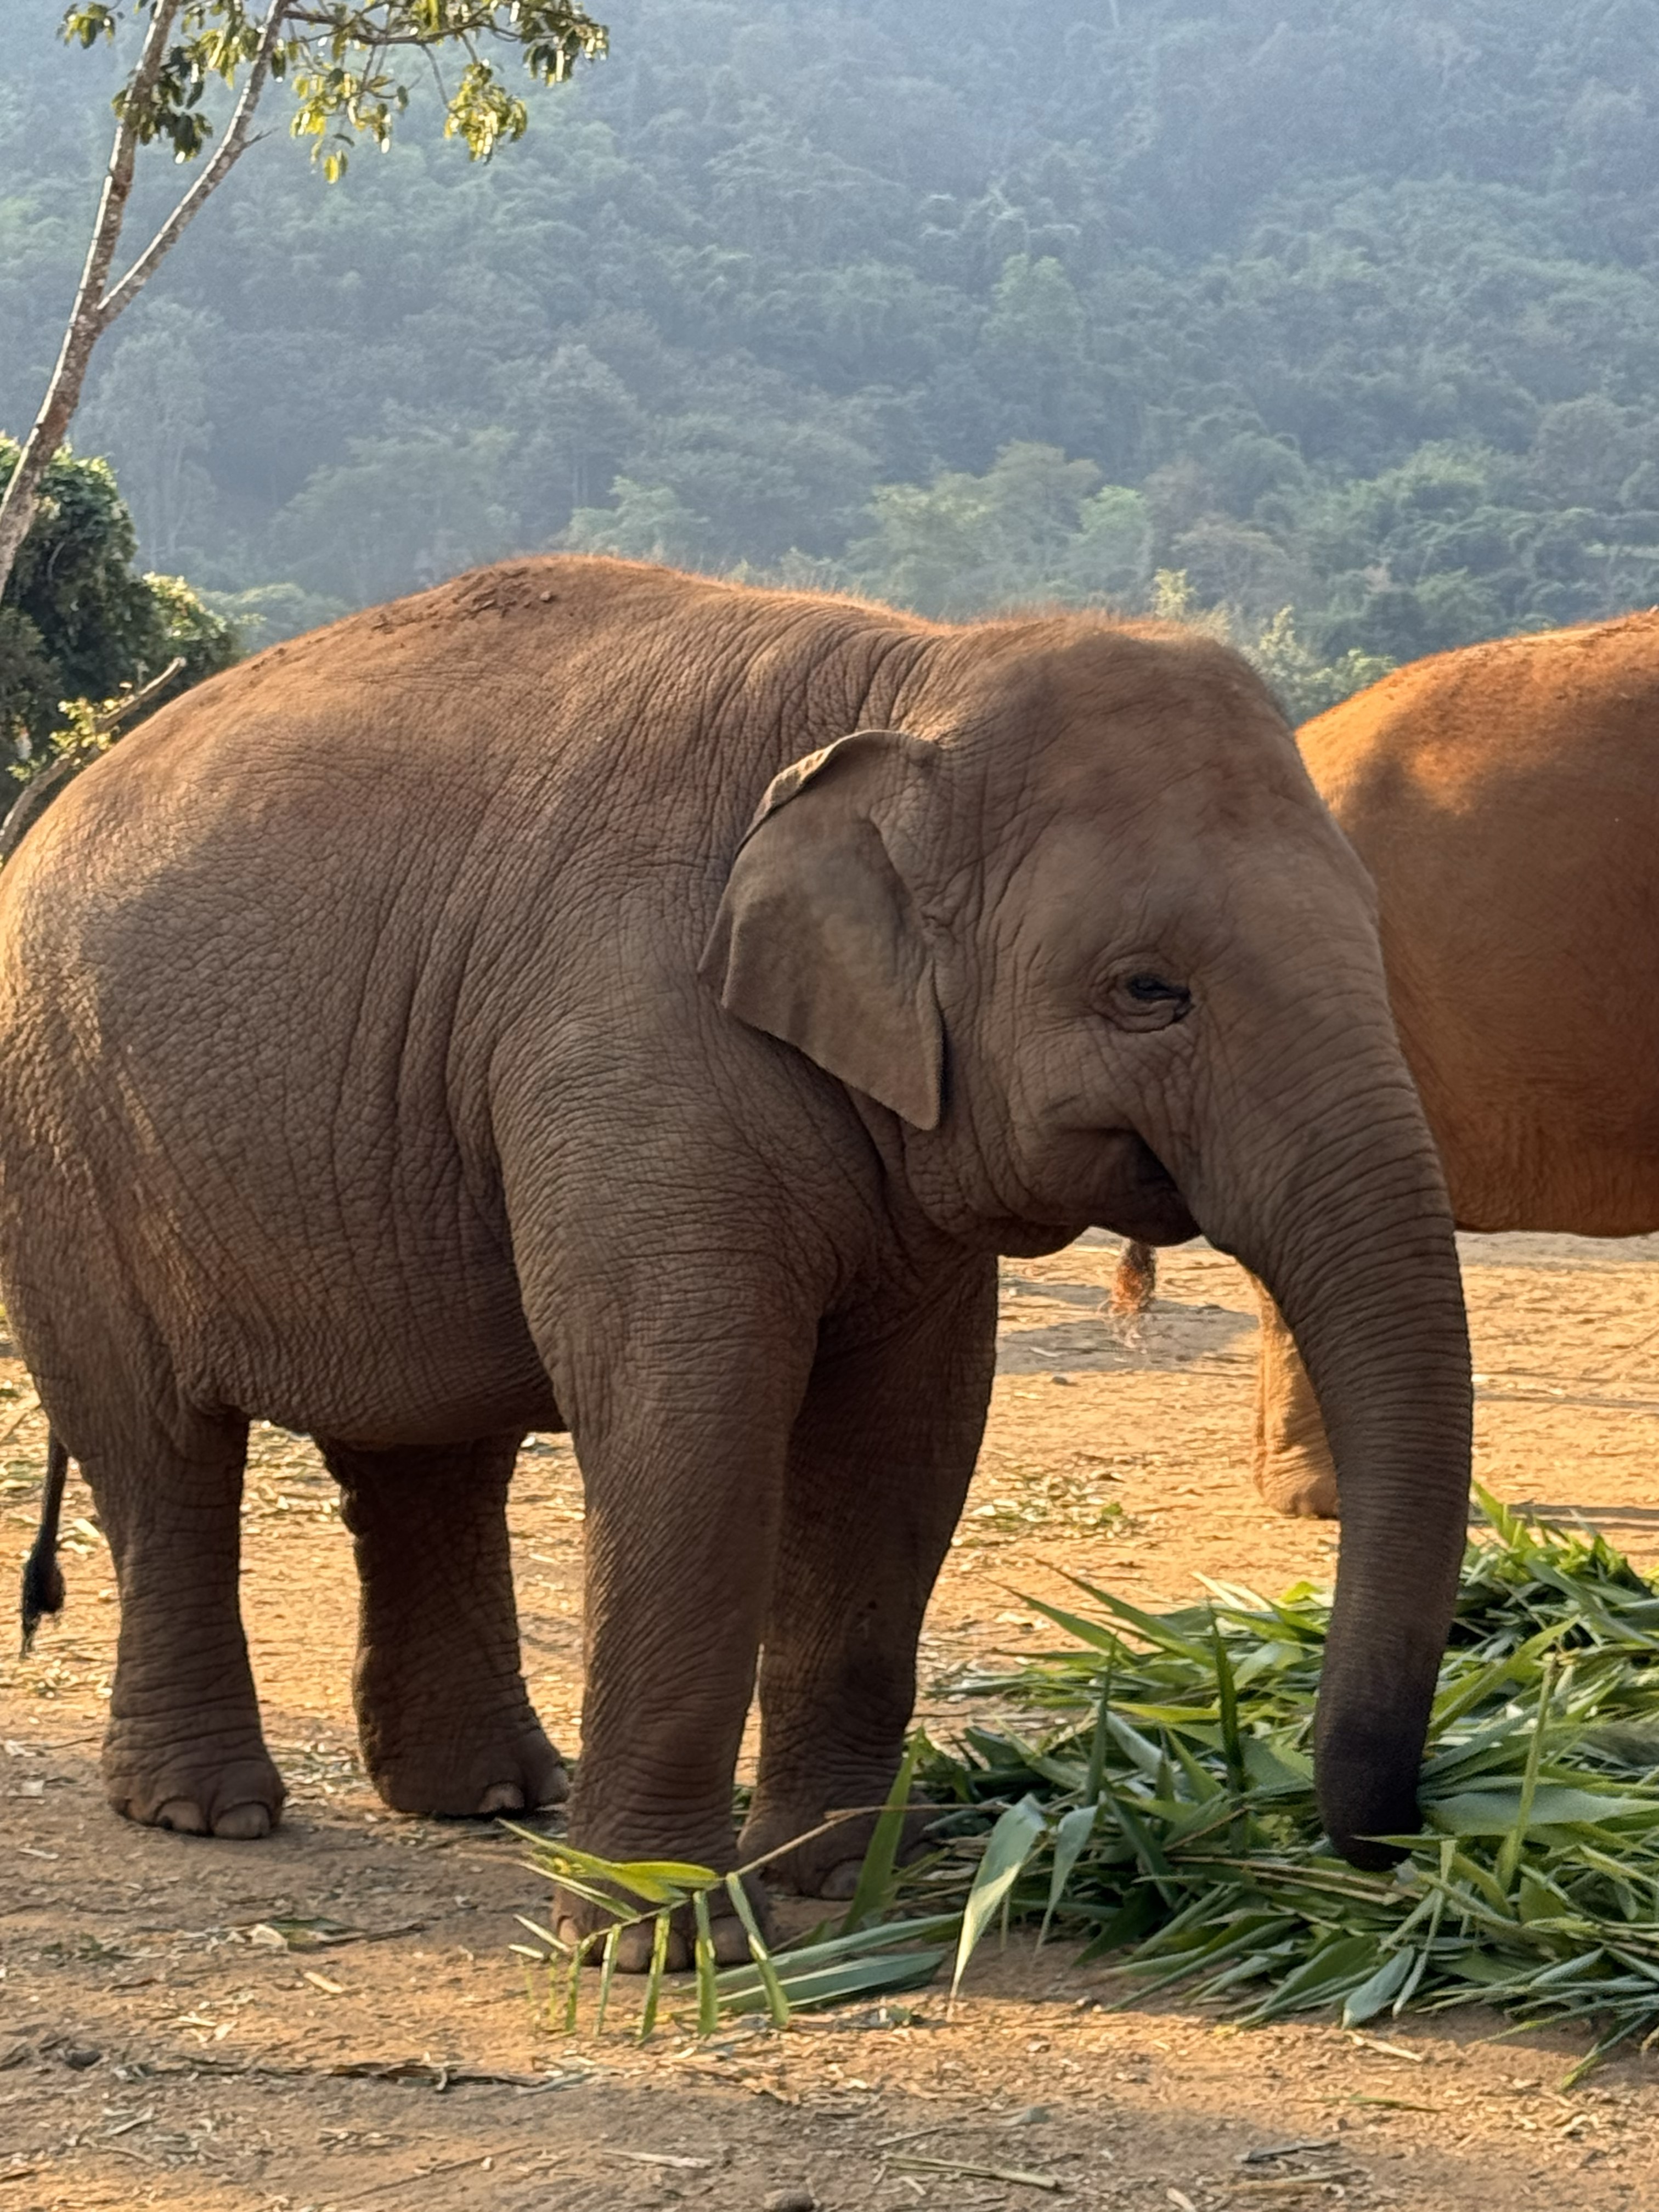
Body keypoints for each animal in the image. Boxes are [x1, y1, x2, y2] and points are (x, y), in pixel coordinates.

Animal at [0, 555, 1471, 1958]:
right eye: (1148, 990)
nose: (1392, 1841)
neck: (914, 670)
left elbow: (905, 1442)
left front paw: (845, 1881)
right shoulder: (626, 1043)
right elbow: (689, 1425)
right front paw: (652, 1942)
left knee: (427, 1456)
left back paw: (492, 1798)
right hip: (63, 1144)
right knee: (162, 1453)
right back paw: (210, 1813)